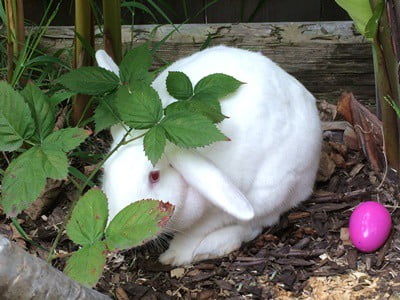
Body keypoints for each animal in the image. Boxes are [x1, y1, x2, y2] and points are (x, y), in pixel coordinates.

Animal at [96, 45, 322, 266]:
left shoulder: (218, 212)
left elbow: (195, 233)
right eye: (106, 172)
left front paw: (175, 256)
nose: (117, 233)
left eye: (154, 176)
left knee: (258, 223)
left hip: (274, 190)